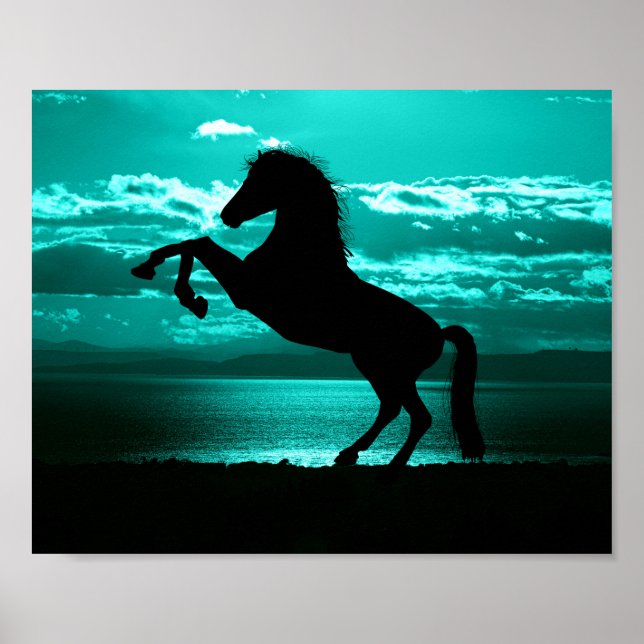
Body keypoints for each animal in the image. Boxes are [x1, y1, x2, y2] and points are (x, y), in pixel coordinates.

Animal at [131, 147, 485, 468]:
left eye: (261, 180)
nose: (227, 215)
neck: (301, 254)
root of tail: (439, 333)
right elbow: (192, 244)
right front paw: (158, 275)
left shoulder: (245, 290)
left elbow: (197, 244)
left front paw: (185, 294)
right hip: (377, 367)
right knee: (392, 408)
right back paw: (349, 454)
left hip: (388, 370)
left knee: (416, 415)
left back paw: (390, 465)